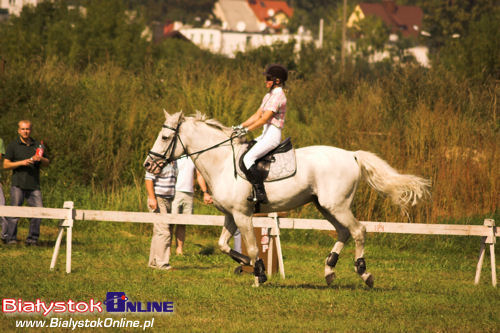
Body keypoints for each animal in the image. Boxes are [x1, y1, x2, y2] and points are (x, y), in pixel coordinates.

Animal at [144, 111, 430, 286]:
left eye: (165, 137)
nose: (148, 164)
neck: (223, 162)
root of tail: (351, 154)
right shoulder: (231, 216)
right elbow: (224, 245)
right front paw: (248, 264)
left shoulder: (243, 215)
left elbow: (250, 247)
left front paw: (258, 275)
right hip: (325, 206)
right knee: (343, 232)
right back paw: (329, 271)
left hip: (336, 205)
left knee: (358, 231)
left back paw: (364, 273)